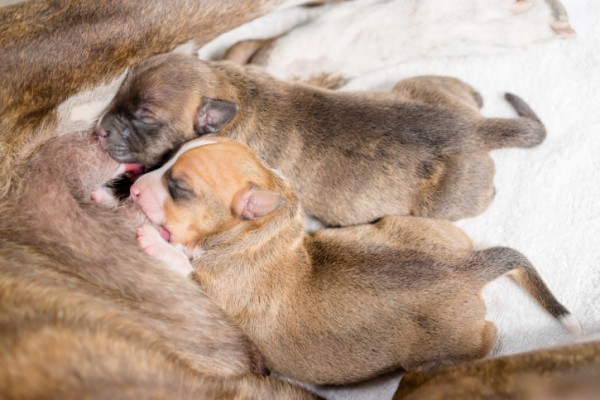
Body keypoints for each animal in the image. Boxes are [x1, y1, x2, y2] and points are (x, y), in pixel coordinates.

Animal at [96, 54, 548, 225]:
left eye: (144, 118)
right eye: (117, 93)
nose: (99, 129)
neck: (232, 92)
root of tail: (473, 128)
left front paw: (117, 189)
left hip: (446, 203)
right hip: (427, 85)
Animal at [127, 137, 576, 384]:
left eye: (179, 188)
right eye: (167, 158)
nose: (131, 189)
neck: (257, 232)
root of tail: (467, 270)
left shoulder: (216, 288)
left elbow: (186, 267)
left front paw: (154, 240)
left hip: (451, 345)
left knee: (484, 338)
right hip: (423, 228)